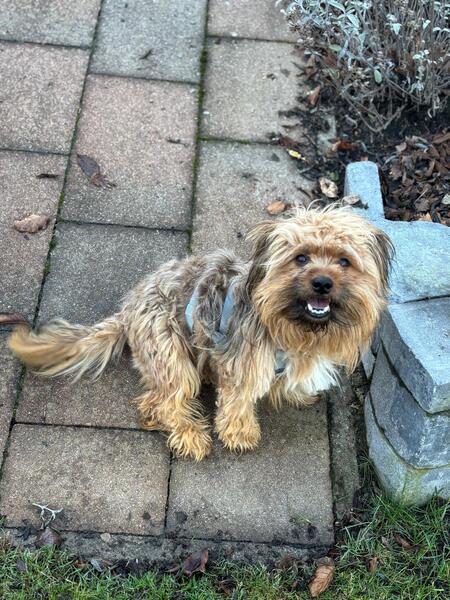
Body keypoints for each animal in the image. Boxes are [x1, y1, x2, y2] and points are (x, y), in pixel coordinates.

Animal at [9, 206, 393, 461]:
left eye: (344, 261)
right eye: (301, 258)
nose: (322, 283)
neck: (292, 328)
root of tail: (127, 310)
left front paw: (295, 393)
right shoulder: (241, 366)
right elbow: (237, 403)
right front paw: (240, 434)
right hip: (170, 350)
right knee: (164, 401)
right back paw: (190, 435)